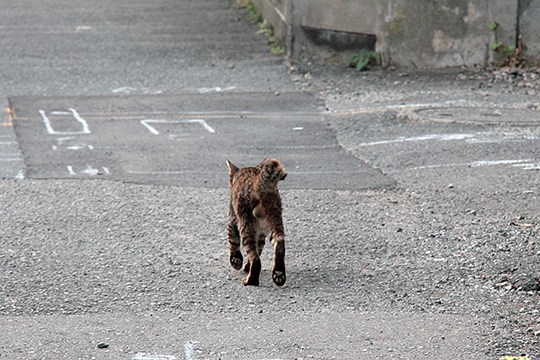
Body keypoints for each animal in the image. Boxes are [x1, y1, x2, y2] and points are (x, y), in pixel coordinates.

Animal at [226, 158, 286, 286]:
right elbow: (259, 248)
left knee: (256, 258)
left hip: (246, 224)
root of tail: (261, 183)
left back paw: (250, 280)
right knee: (279, 246)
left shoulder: (233, 220)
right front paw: (246, 266)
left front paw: (236, 261)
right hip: (274, 220)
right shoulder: (261, 233)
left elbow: (233, 242)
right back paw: (279, 275)